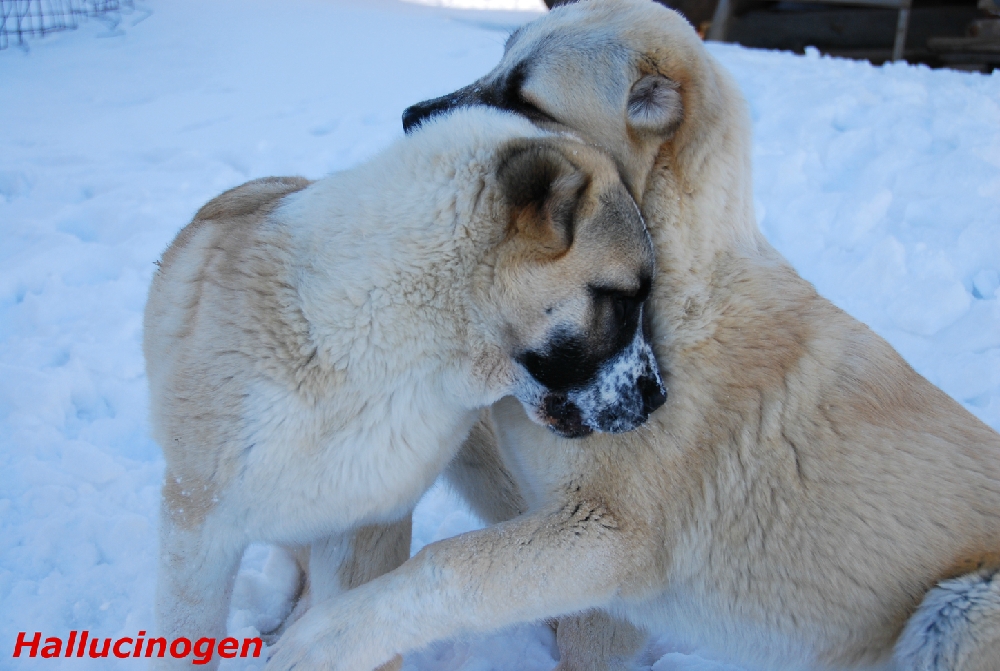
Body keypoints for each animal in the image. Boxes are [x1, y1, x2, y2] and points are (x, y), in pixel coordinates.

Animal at [266, 1, 1000, 671]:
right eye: (502, 61)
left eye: (524, 97)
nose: (410, 115)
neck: (671, 294)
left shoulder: (606, 536)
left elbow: (449, 567)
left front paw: (323, 638)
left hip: (959, 609)